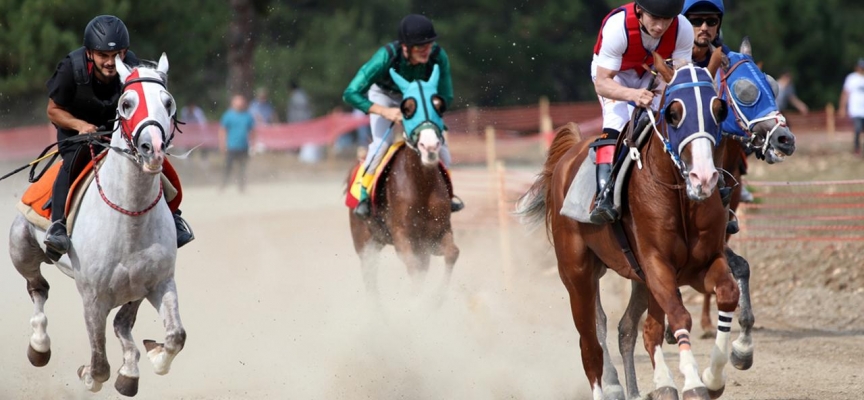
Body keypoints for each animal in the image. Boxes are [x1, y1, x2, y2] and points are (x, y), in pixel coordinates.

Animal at [9, 54, 186, 396]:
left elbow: (175, 336)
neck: (130, 219)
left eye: (168, 102)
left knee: (122, 324)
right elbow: (100, 362)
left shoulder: (158, 282)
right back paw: (39, 346)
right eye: (127, 103)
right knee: (38, 288)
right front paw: (88, 375)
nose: (153, 149)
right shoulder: (93, 297)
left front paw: (151, 359)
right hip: (20, 247)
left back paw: (130, 370)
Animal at [516, 50, 740, 400]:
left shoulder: (702, 263)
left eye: (719, 110)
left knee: (625, 329)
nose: (703, 178)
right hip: (576, 273)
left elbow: (727, 293)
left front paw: (712, 377)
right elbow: (677, 316)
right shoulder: (657, 264)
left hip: (633, 278)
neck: (679, 195)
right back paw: (609, 385)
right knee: (590, 345)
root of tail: (568, 156)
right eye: (673, 113)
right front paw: (691, 381)